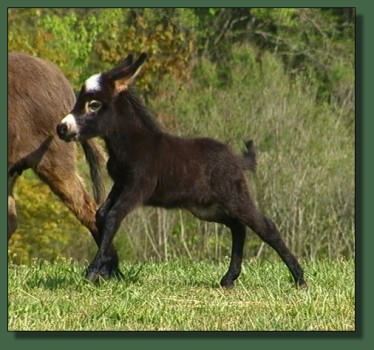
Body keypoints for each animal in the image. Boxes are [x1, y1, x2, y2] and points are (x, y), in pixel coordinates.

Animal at [57, 52, 306, 288]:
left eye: (94, 104)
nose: (62, 128)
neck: (134, 144)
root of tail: (237, 159)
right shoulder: (120, 184)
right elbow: (100, 214)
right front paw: (106, 269)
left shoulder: (136, 187)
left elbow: (112, 217)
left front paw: (92, 271)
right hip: (205, 207)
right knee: (238, 226)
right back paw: (229, 278)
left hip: (234, 197)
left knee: (265, 226)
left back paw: (299, 278)